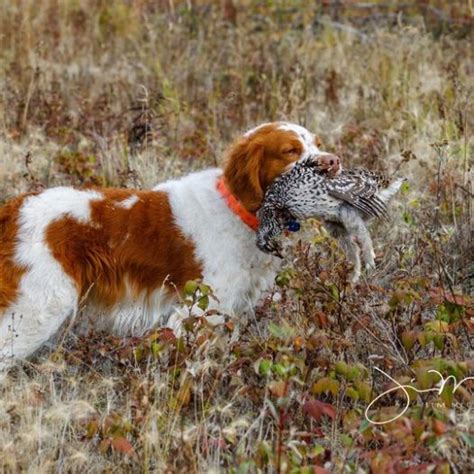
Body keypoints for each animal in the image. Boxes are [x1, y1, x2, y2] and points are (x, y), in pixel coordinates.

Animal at [0, 122, 340, 366]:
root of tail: (13, 209)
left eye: (316, 144)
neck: (237, 209)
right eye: (290, 150)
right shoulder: (199, 310)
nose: (333, 162)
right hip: (38, 310)